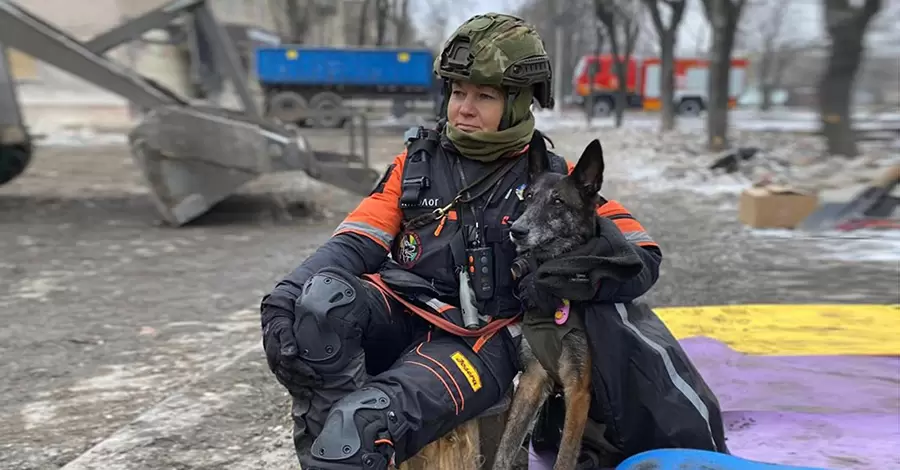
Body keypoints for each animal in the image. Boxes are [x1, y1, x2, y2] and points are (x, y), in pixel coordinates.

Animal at [488, 140, 608, 470]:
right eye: (527, 197)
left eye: (558, 202)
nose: (516, 230)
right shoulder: (532, 378)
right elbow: (504, 447)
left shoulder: (578, 390)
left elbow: (565, 458)